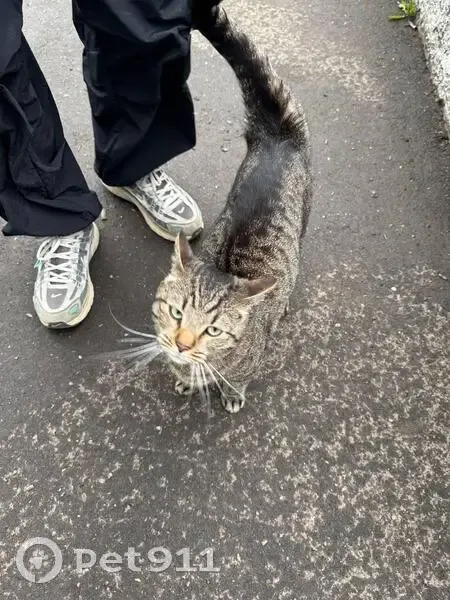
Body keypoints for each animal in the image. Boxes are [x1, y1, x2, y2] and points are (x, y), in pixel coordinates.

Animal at [152, 2, 312, 413]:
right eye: (176, 312)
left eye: (213, 329)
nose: (181, 344)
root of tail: (276, 133)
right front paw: (185, 380)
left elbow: (235, 379)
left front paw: (230, 393)